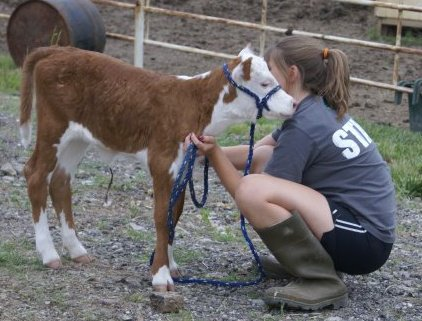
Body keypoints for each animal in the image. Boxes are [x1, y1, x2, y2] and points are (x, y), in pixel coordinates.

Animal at [19, 44, 294, 290]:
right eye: (265, 83)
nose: (292, 103)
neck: (195, 104)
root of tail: (59, 50)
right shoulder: (162, 161)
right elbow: (162, 216)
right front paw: (161, 276)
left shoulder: (184, 165)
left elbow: (174, 214)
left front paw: (171, 266)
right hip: (53, 128)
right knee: (35, 175)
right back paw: (49, 254)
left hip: (77, 139)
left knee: (60, 182)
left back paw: (76, 250)